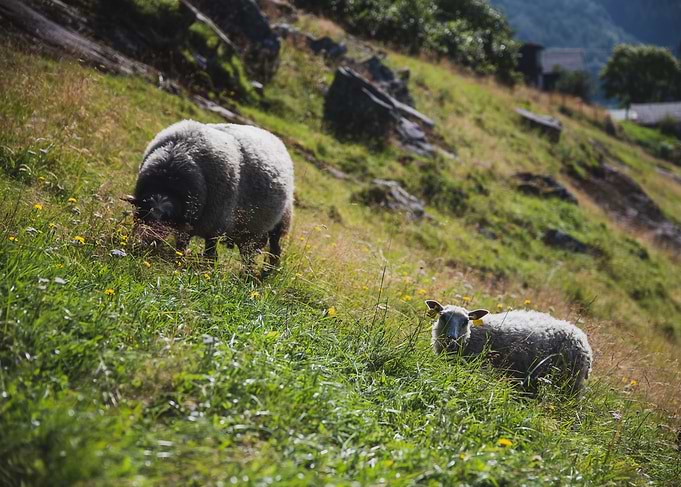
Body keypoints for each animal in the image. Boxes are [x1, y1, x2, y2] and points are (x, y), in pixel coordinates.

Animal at [123, 120, 294, 269]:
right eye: (139, 216)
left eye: (164, 223)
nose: (140, 244)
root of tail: (274, 137)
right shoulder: (188, 223)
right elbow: (181, 246)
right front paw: (179, 261)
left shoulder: (215, 224)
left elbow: (210, 254)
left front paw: (208, 269)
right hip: (248, 232)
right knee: (250, 254)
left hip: (278, 224)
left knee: (272, 252)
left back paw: (262, 274)